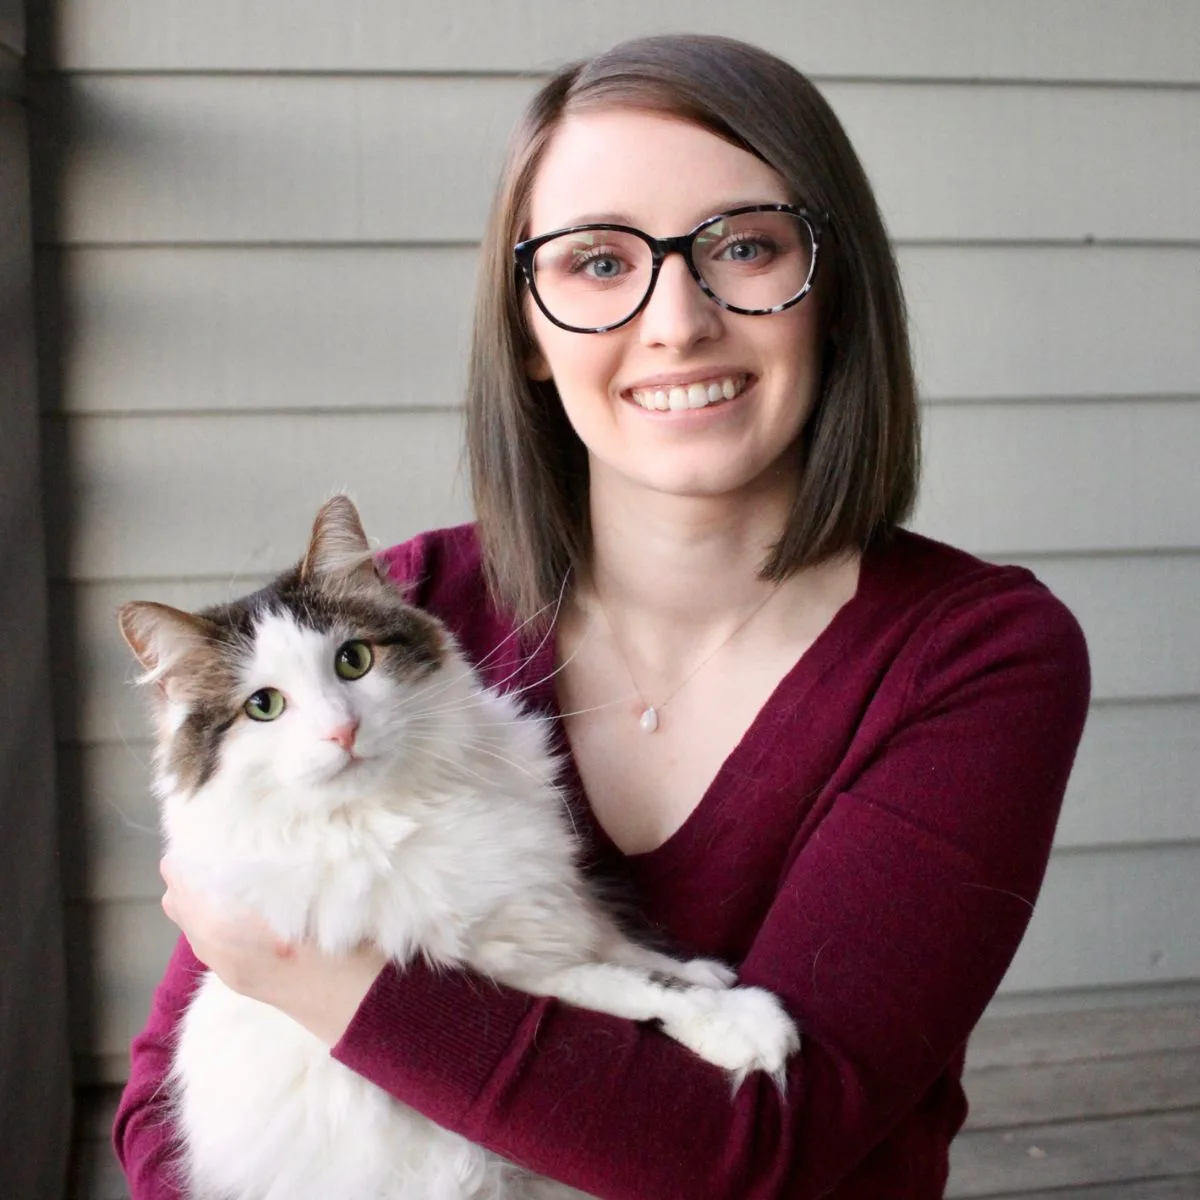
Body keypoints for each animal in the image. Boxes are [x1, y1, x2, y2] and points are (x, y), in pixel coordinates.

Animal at [119, 496, 796, 1200]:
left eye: (352, 661)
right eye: (264, 706)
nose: (342, 730)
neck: (410, 802)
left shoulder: (547, 902)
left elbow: (626, 948)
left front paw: (705, 972)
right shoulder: (509, 969)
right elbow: (632, 987)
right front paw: (742, 1023)